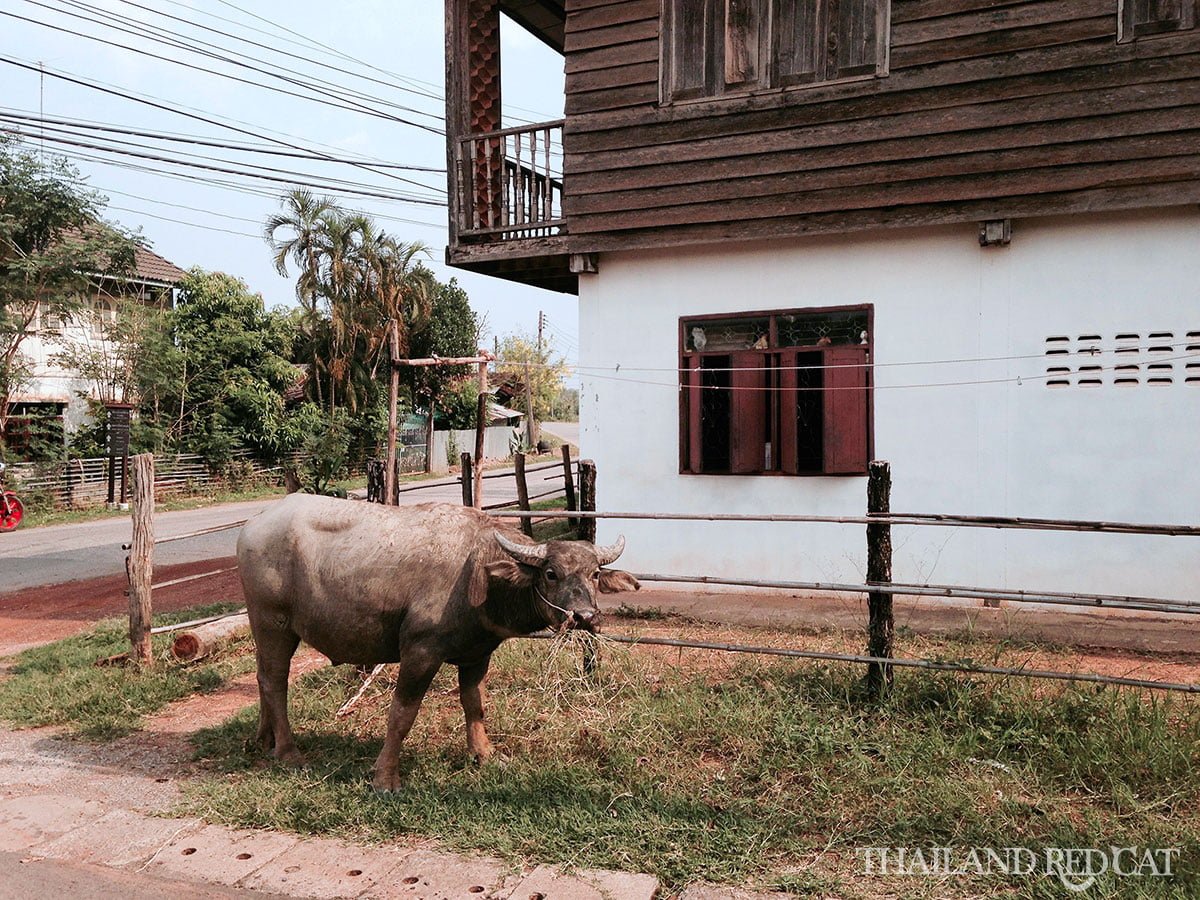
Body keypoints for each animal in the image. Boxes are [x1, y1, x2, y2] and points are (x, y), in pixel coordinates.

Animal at [232, 496, 638, 792]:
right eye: (551, 574)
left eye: (594, 573)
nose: (584, 616)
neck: (477, 575)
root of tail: (254, 525)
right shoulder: (420, 653)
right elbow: (402, 715)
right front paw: (386, 778)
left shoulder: (477, 656)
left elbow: (475, 706)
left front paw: (484, 755)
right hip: (273, 622)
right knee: (275, 681)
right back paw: (288, 751)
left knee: (263, 677)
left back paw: (264, 739)